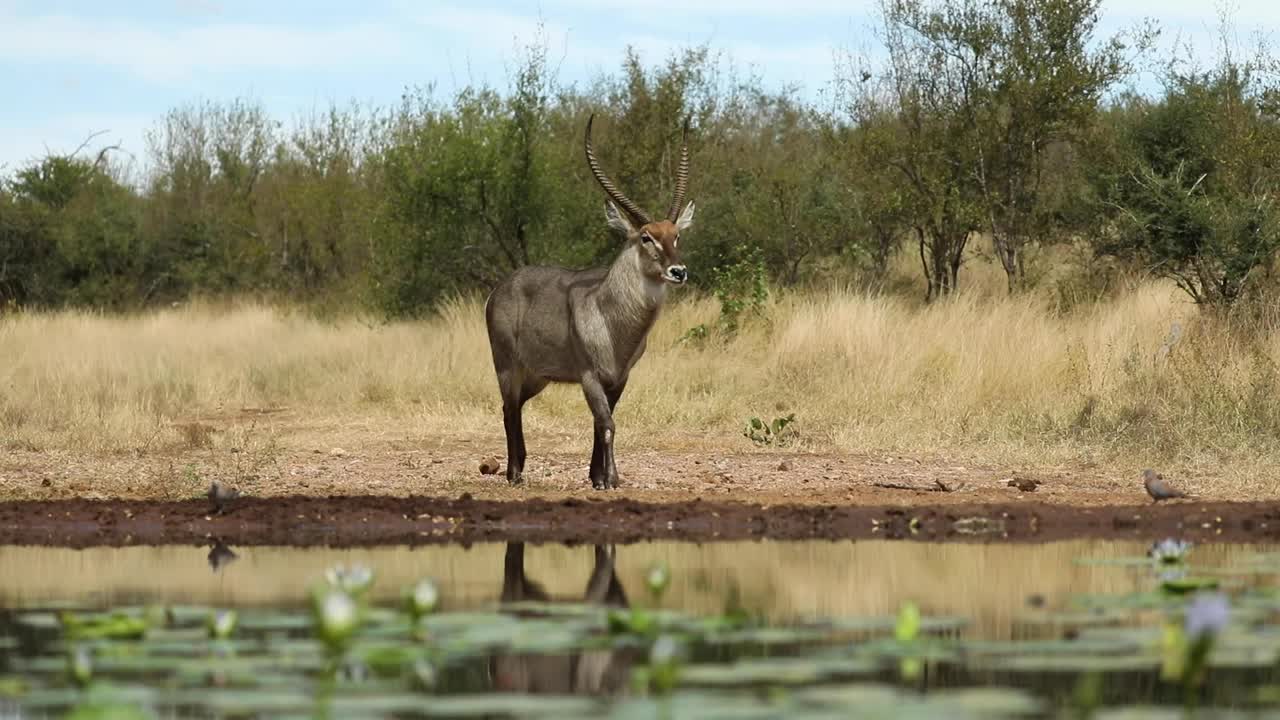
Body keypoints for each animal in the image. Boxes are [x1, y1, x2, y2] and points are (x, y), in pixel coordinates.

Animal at [484, 114, 694, 490]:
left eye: (677, 235)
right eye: (646, 237)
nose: (678, 271)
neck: (611, 317)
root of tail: (501, 287)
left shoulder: (620, 378)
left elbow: (602, 423)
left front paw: (598, 477)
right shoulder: (589, 377)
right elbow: (608, 424)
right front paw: (611, 479)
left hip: (538, 376)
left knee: (517, 407)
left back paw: (520, 465)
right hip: (507, 366)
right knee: (508, 409)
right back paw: (514, 474)